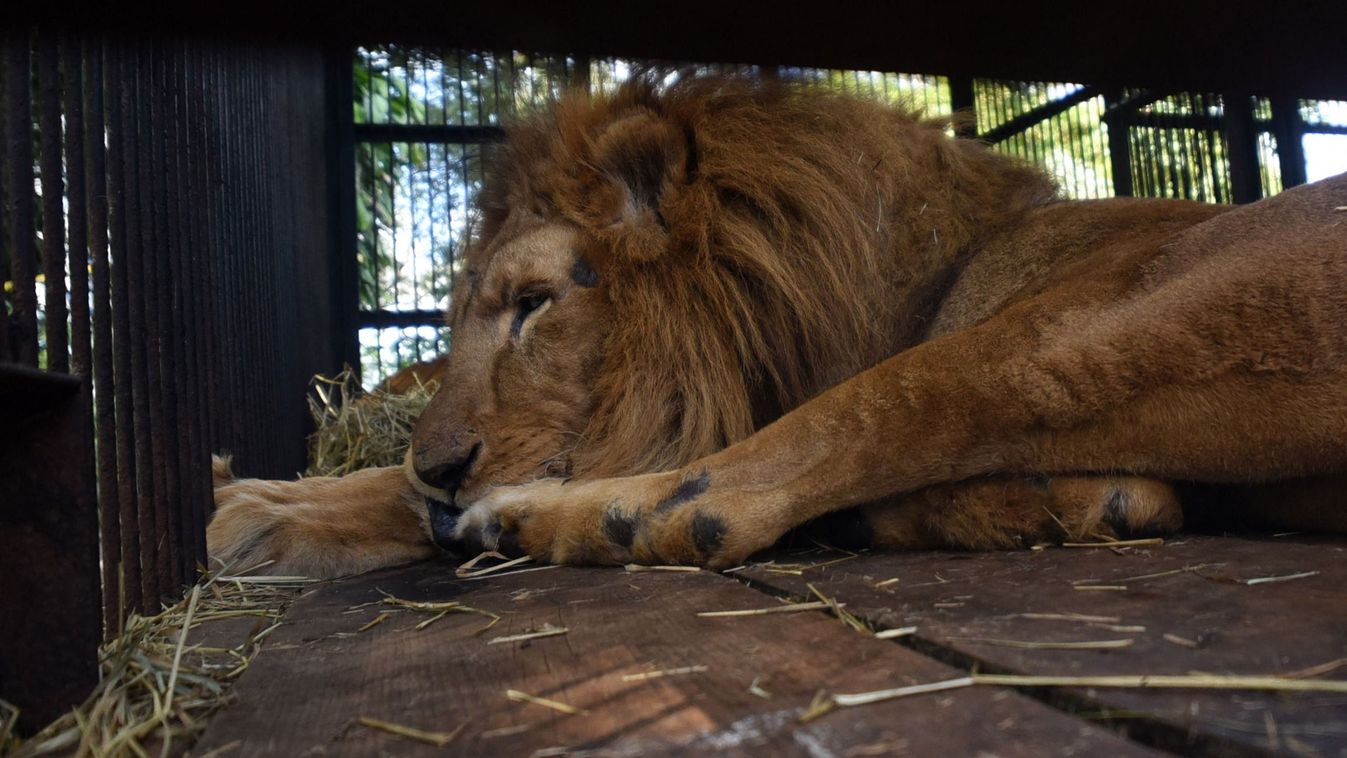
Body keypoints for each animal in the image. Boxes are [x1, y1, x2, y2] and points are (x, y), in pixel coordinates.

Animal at [204, 75, 1341, 581]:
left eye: (535, 304)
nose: (444, 468)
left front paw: (258, 511)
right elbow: (382, 482)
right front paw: (264, 499)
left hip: (1106, 321)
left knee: (777, 467)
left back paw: (525, 520)